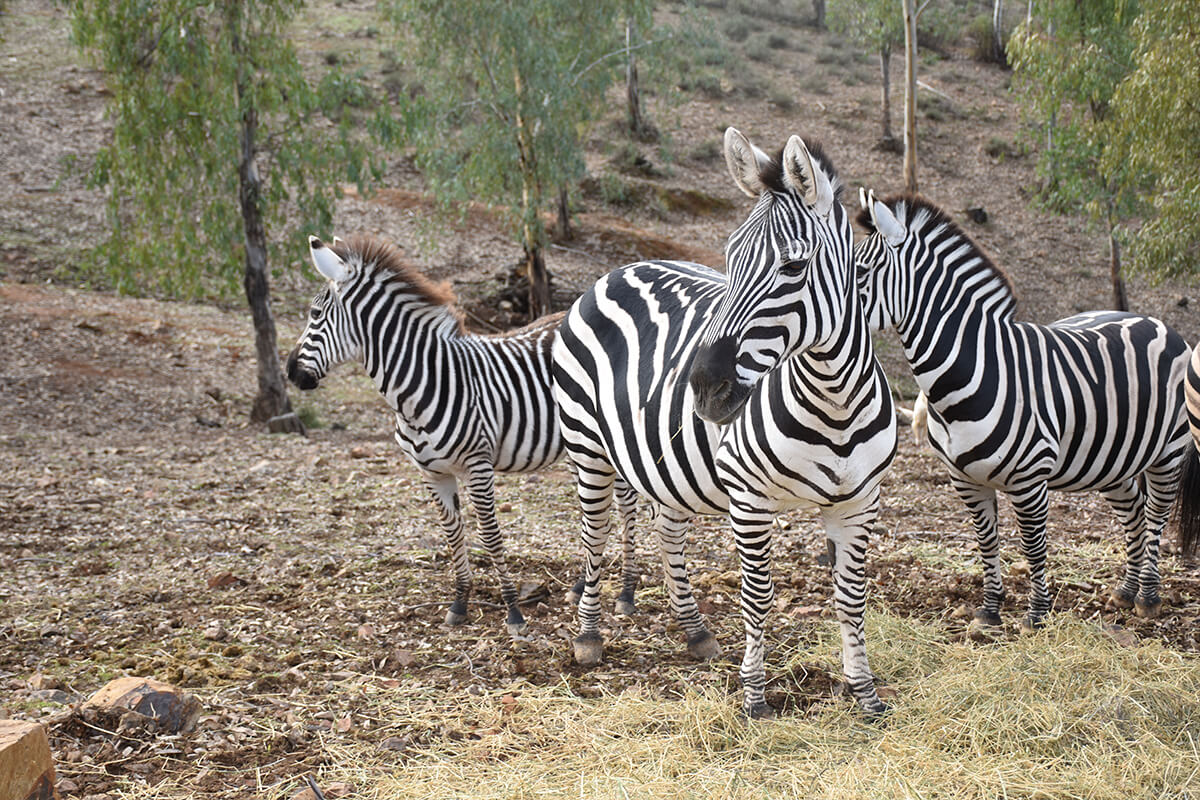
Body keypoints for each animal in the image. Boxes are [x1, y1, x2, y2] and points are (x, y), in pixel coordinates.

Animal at [284, 232, 643, 638]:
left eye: (315, 315)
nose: (290, 373)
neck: (422, 383)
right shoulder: (431, 472)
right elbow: (453, 534)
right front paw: (460, 602)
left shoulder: (477, 465)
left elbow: (489, 535)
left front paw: (513, 612)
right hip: (578, 446)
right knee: (597, 515)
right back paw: (582, 586)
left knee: (626, 506)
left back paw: (626, 593)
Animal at [552, 130, 892, 719]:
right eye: (730, 257)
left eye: (793, 268)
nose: (703, 387)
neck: (836, 402)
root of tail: (620, 269)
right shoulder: (750, 501)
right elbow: (758, 597)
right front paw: (755, 697)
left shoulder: (859, 502)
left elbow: (851, 597)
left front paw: (864, 694)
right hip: (587, 447)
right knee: (594, 536)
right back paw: (589, 636)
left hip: (665, 467)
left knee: (668, 531)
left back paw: (695, 633)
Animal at [854, 190, 1200, 628]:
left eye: (859, 270)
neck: (973, 370)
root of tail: (1157, 322)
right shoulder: (964, 479)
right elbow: (987, 541)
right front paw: (989, 610)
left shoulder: (1030, 478)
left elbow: (1033, 545)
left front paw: (1037, 615)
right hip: (1113, 460)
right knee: (1135, 513)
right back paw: (1125, 591)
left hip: (1167, 453)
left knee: (1155, 515)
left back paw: (1149, 598)